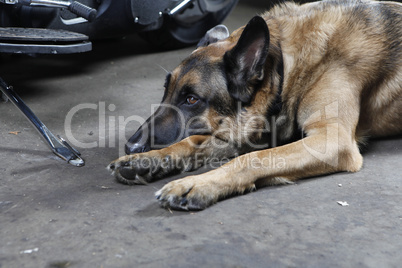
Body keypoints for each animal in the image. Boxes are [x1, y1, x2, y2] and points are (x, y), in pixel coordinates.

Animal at [107, 0, 402, 209]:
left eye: (191, 100)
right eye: (165, 91)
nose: (131, 146)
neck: (285, 63)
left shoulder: (331, 140)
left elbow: (252, 159)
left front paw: (197, 184)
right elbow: (192, 143)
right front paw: (145, 161)